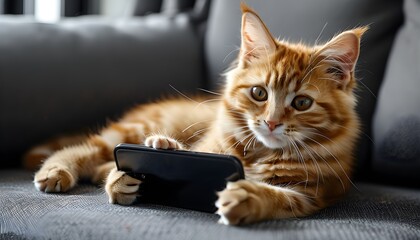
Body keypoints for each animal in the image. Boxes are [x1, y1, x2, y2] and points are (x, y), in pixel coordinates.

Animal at [27, 4, 368, 225]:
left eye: (302, 103)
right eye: (259, 93)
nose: (272, 123)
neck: (260, 152)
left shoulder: (313, 194)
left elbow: (278, 197)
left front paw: (247, 196)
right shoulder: (207, 147)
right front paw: (155, 152)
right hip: (133, 129)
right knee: (83, 147)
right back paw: (57, 170)